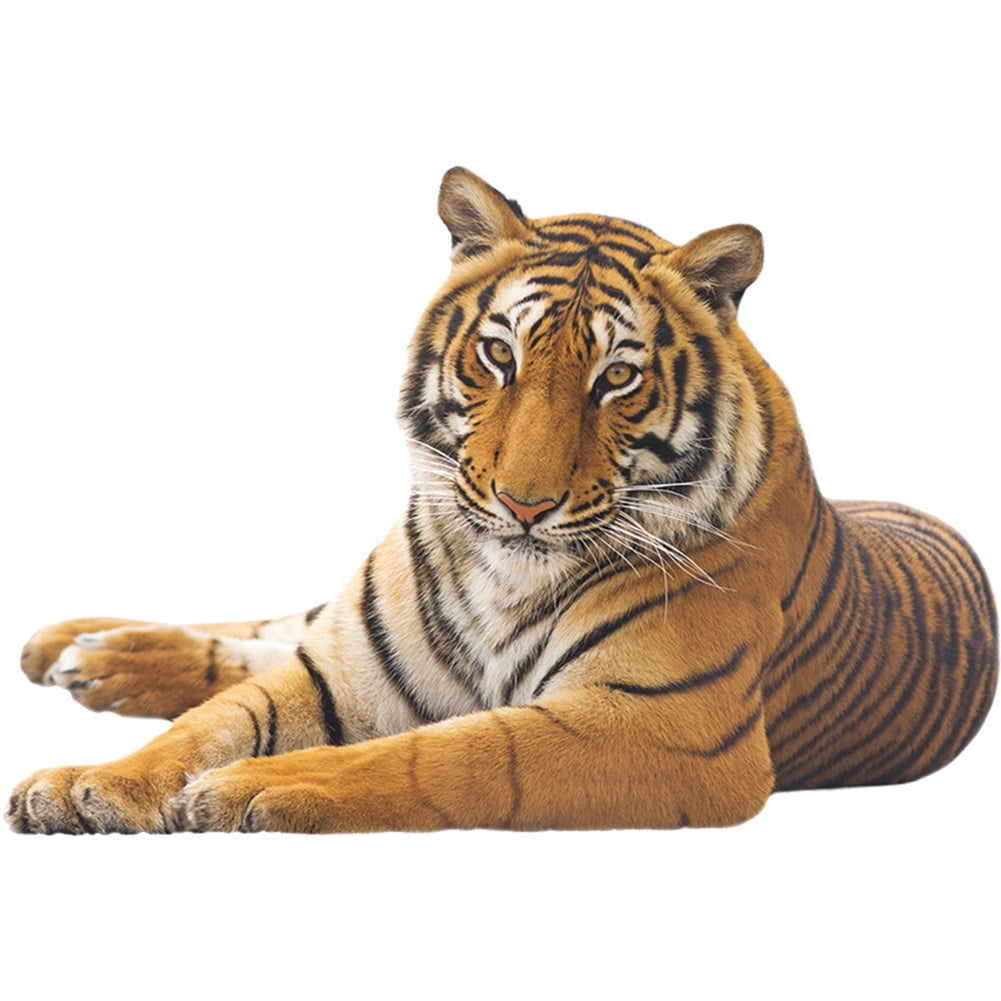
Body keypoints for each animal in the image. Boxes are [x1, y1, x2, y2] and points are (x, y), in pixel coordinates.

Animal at [7, 167, 997, 834]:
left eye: (617, 379)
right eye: (499, 355)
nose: (525, 504)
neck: (502, 575)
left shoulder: (666, 725)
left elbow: (454, 752)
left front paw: (262, 787)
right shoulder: (344, 669)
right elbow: (212, 722)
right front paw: (90, 784)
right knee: (268, 631)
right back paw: (78, 647)